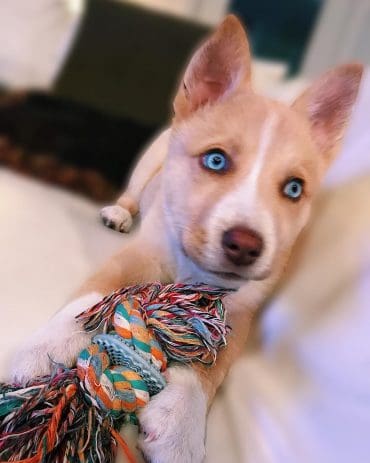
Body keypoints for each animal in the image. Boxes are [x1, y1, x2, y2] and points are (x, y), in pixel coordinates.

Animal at [10, 14, 362, 463]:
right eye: (215, 160)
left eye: (294, 189)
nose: (245, 246)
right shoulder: (141, 253)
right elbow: (91, 296)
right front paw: (45, 348)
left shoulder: (240, 309)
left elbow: (216, 359)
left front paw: (182, 421)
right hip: (148, 164)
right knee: (131, 194)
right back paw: (118, 213)